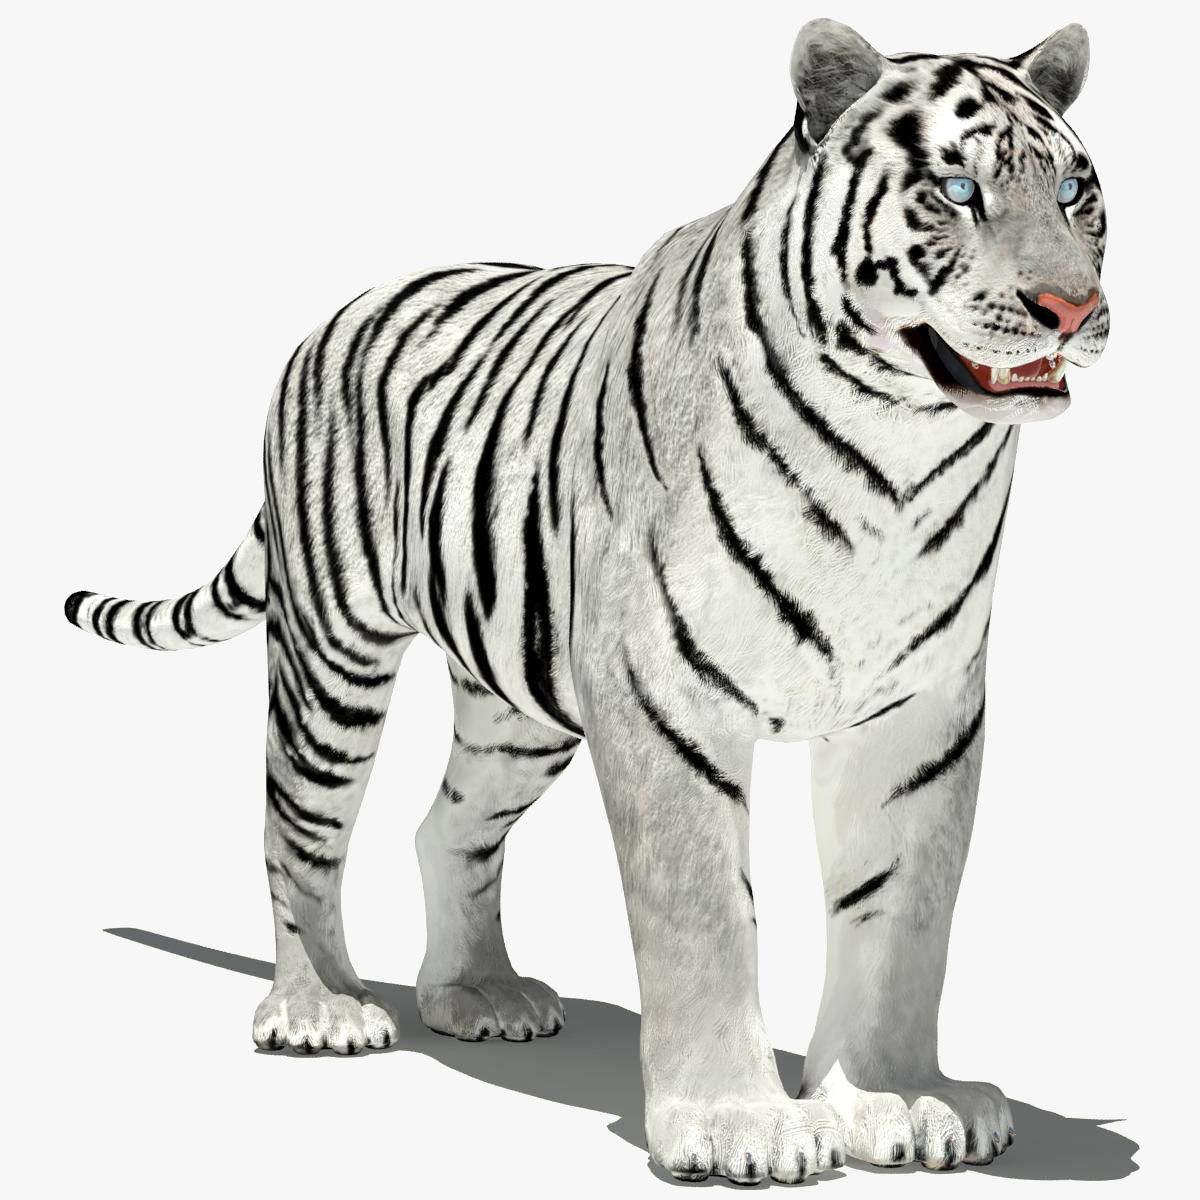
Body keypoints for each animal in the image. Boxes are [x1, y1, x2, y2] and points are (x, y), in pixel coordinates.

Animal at [64, 17, 1108, 1184]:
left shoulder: (920, 715)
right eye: (959, 191)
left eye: (1074, 190)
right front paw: (738, 1125)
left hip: (517, 708)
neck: (900, 453)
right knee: (297, 826)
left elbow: (902, 917)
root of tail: (339, 312)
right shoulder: (666, 700)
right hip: (334, 656)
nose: (1070, 308)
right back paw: (319, 1008)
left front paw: (900, 1099)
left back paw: (477, 995)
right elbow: (703, 915)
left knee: (446, 828)